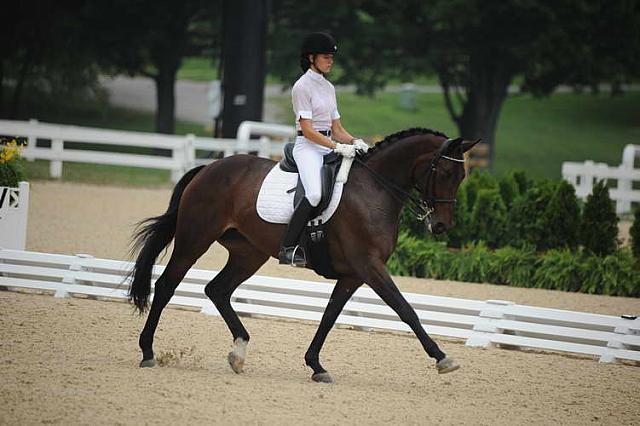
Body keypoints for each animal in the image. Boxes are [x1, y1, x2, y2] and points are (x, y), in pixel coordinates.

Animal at [130, 127, 478, 382]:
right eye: (445, 173)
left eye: (462, 177)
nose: (441, 226)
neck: (375, 190)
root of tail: (209, 168)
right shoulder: (370, 266)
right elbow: (405, 309)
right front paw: (443, 358)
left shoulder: (353, 274)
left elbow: (329, 316)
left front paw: (316, 366)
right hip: (195, 239)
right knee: (166, 286)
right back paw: (147, 352)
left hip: (248, 253)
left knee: (218, 290)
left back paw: (238, 353)